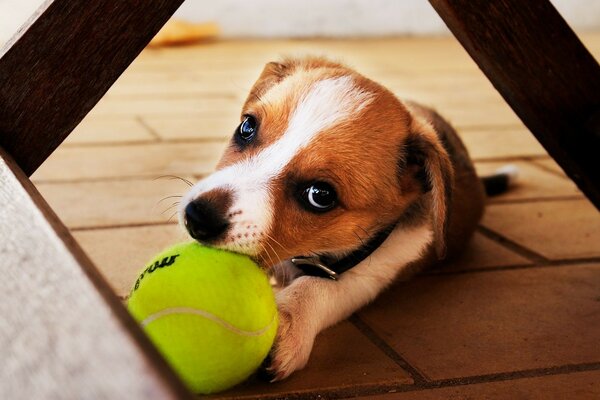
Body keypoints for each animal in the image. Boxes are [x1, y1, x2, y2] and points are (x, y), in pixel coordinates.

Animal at [179, 57, 510, 382]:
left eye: (320, 195)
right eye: (247, 127)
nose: (198, 217)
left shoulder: (372, 274)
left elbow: (316, 286)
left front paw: (287, 319)